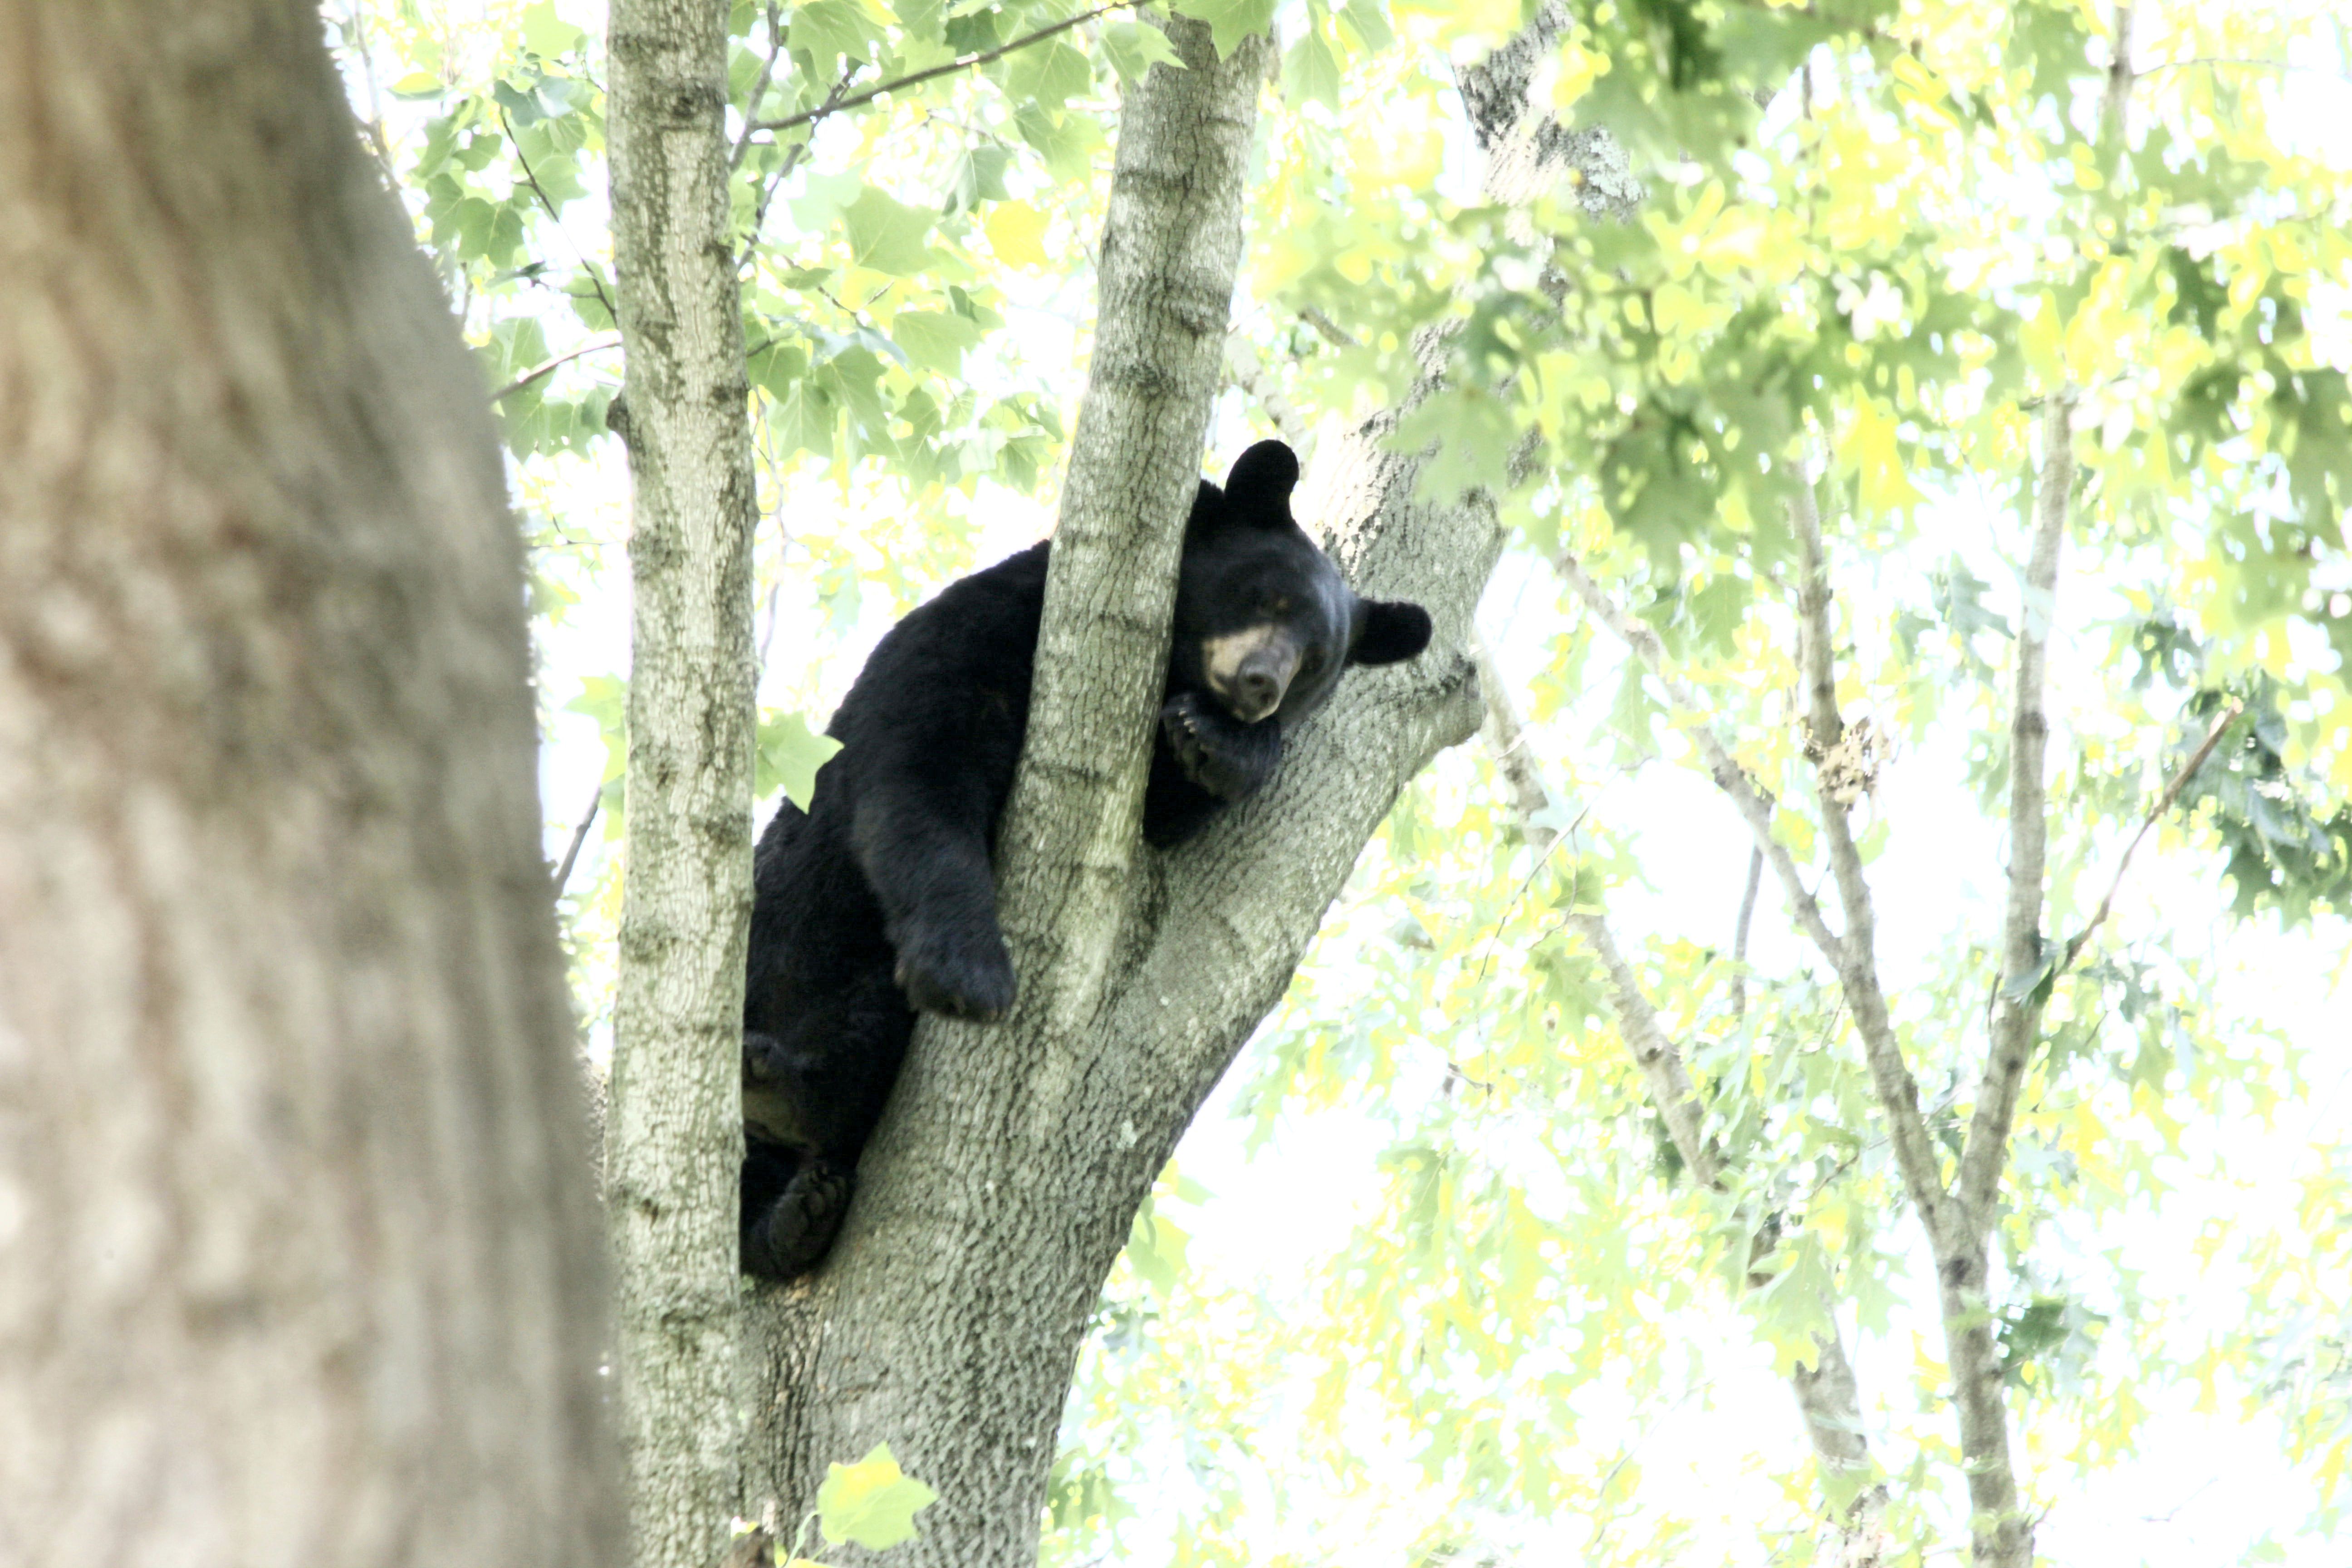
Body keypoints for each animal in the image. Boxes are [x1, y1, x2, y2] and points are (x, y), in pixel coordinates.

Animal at [738, 439, 1430, 1279]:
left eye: (1317, 660)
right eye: (1267, 598)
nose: (1260, 684)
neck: (1170, 663)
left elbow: (1166, 812)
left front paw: (1222, 743)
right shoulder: (998, 623)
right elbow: (923, 759)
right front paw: (970, 970)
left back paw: (794, 1213)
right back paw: (785, 1100)